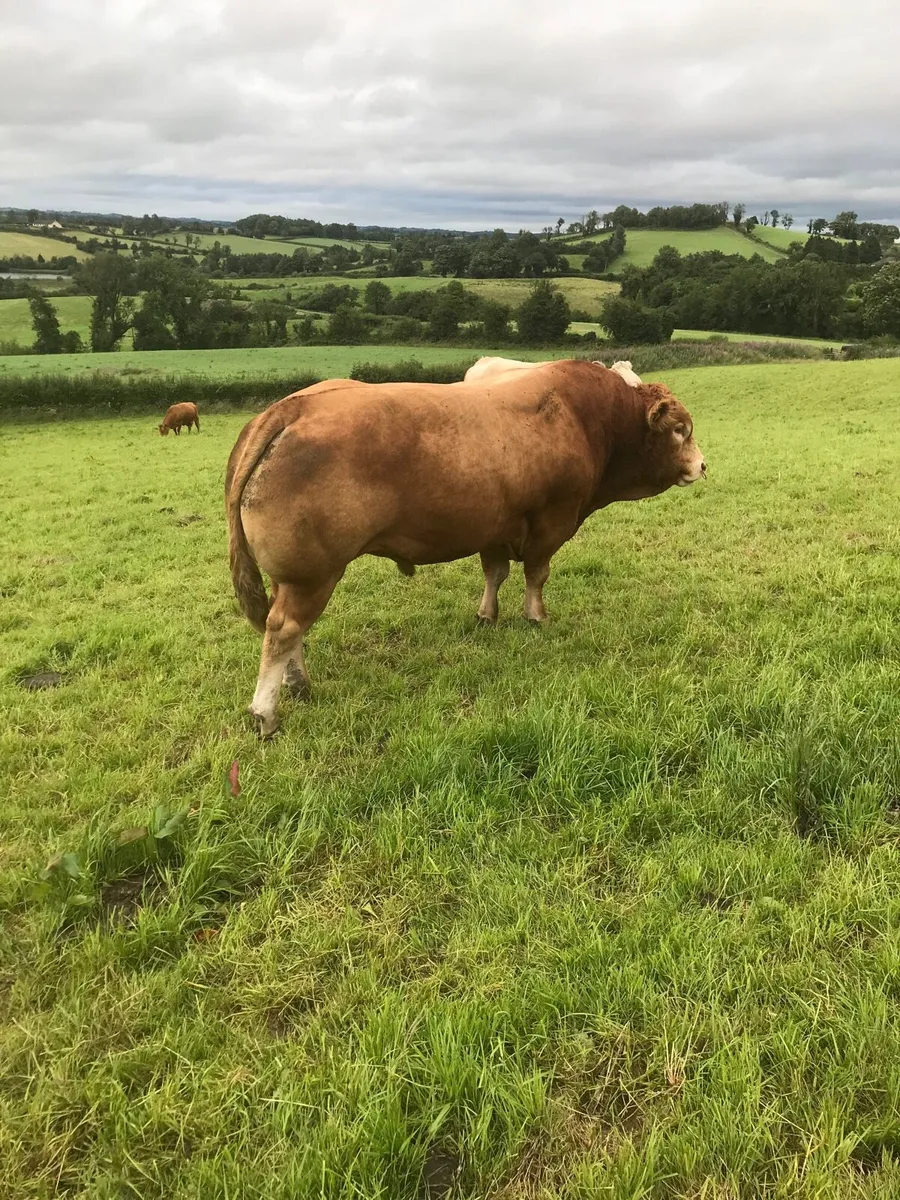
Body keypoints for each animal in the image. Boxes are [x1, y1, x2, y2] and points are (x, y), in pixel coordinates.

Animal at [226, 361, 705, 736]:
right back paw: (266, 713)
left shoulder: (494, 527)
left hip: (293, 576)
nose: (702, 465)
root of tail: (294, 406)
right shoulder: (552, 521)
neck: (592, 419)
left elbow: (495, 572)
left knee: (287, 629)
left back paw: (299, 684)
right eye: (680, 431)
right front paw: (536, 617)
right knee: (284, 629)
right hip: (314, 573)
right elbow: (536, 574)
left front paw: (486, 616)